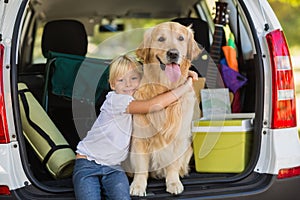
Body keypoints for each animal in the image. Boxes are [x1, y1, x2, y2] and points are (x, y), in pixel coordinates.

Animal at [125, 21, 200, 195]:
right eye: (160, 39)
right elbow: (141, 167)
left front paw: (173, 182)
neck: (165, 88)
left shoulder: (178, 137)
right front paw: (138, 185)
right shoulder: (140, 138)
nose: (173, 53)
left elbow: (173, 164)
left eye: (181, 38)